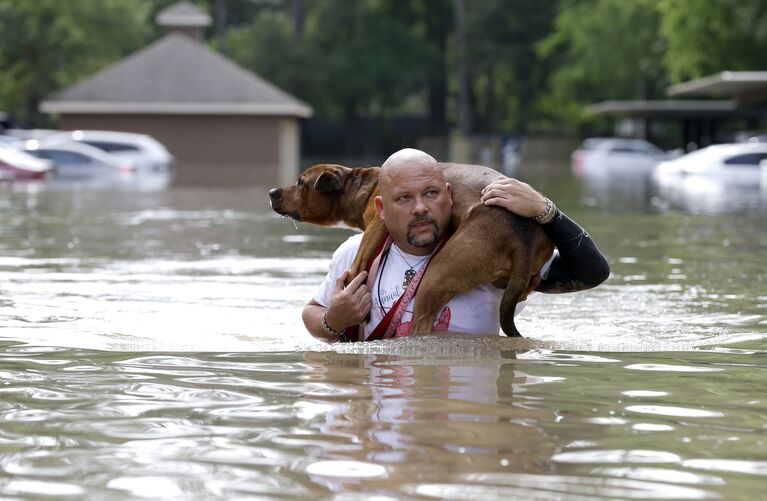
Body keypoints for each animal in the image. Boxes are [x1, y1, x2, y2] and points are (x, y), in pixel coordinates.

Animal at [270, 163, 552, 336]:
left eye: (300, 182)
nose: (272, 191)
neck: (363, 185)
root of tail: (523, 237)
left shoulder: (375, 227)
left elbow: (356, 267)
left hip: (435, 278)